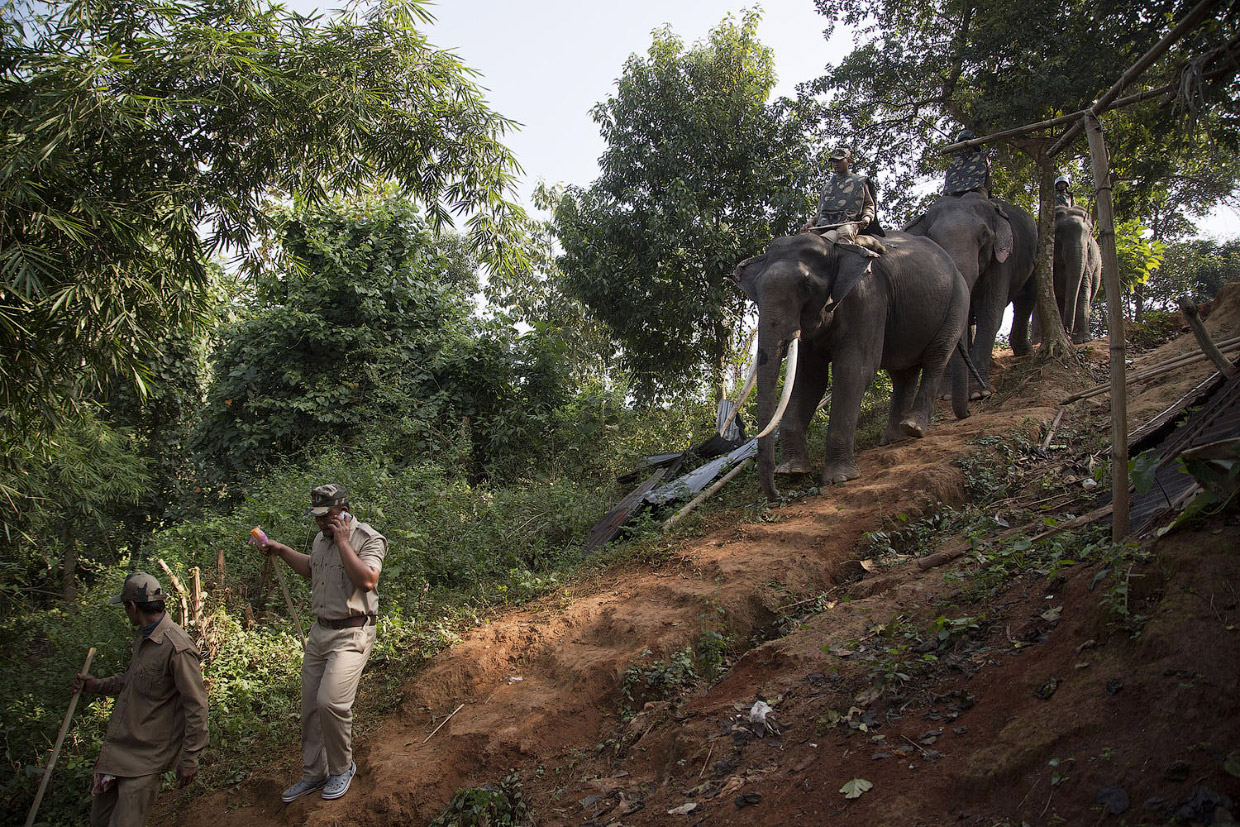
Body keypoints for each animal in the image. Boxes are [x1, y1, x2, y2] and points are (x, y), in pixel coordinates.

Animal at [724, 231, 977, 498]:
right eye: (756, 293)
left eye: (807, 287)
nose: (777, 495)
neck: (834, 247)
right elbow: (810, 379)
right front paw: (792, 471)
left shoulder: (867, 301)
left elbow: (854, 370)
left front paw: (840, 478)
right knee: (902, 372)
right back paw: (894, 439)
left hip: (957, 300)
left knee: (936, 356)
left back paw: (914, 428)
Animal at [902, 194, 1036, 401]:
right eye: (932, 239)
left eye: (984, 236)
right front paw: (946, 396)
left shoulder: (1000, 262)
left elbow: (989, 314)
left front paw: (978, 393)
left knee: (1027, 296)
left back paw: (1025, 351)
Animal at [1051, 210, 1101, 349]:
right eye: (1058, 231)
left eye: (1090, 232)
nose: (1067, 332)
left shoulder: (1087, 262)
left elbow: (1083, 289)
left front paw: (1082, 341)